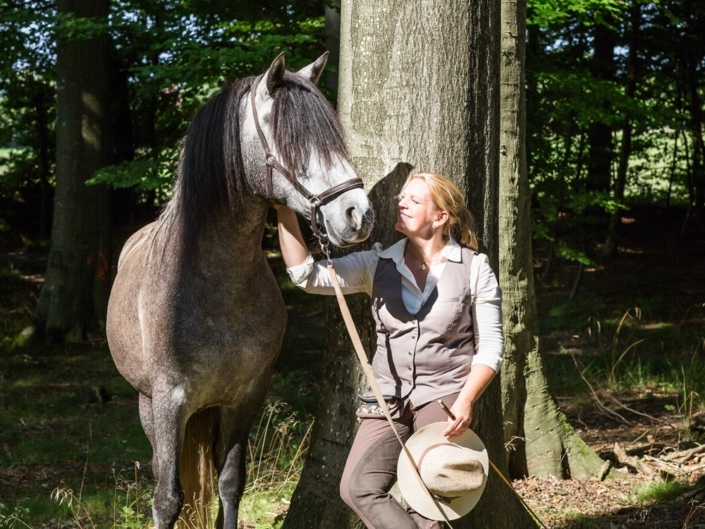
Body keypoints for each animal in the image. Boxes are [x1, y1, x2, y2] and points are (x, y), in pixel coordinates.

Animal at [106, 52, 374, 528]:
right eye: (293, 143)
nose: (358, 214)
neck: (217, 285)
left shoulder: (246, 398)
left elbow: (230, 483)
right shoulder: (169, 402)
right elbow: (166, 498)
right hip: (148, 405)